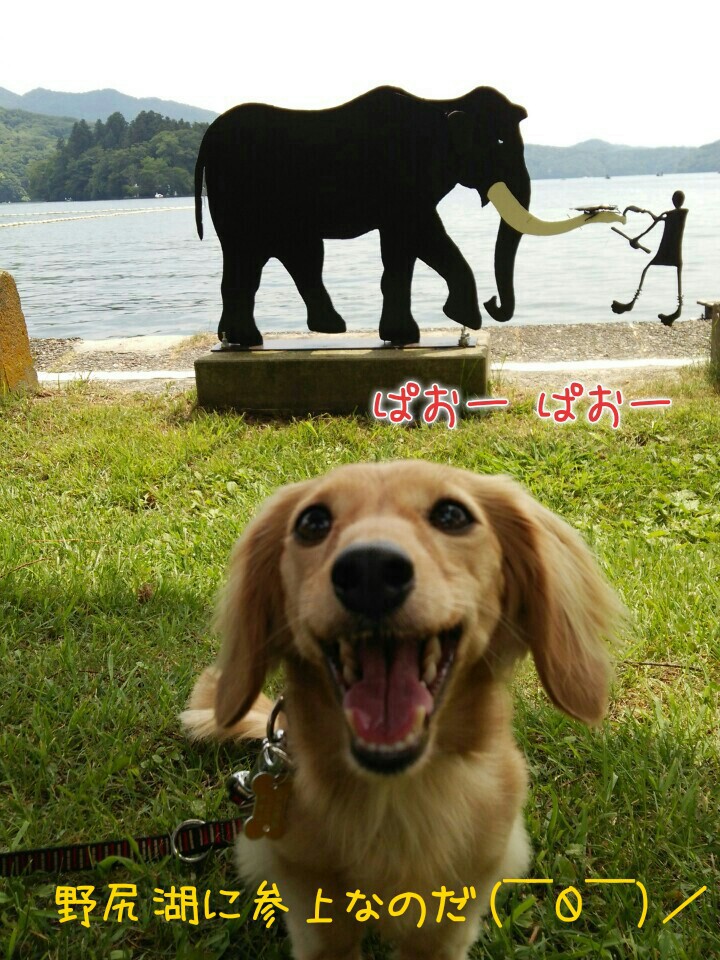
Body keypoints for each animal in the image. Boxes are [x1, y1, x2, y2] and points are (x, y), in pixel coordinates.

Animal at [181, 462, 620, 956]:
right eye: (312, 522)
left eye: (452, 514)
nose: (369, 571)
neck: (394, 800)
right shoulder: (316, 915)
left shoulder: (444, 929)